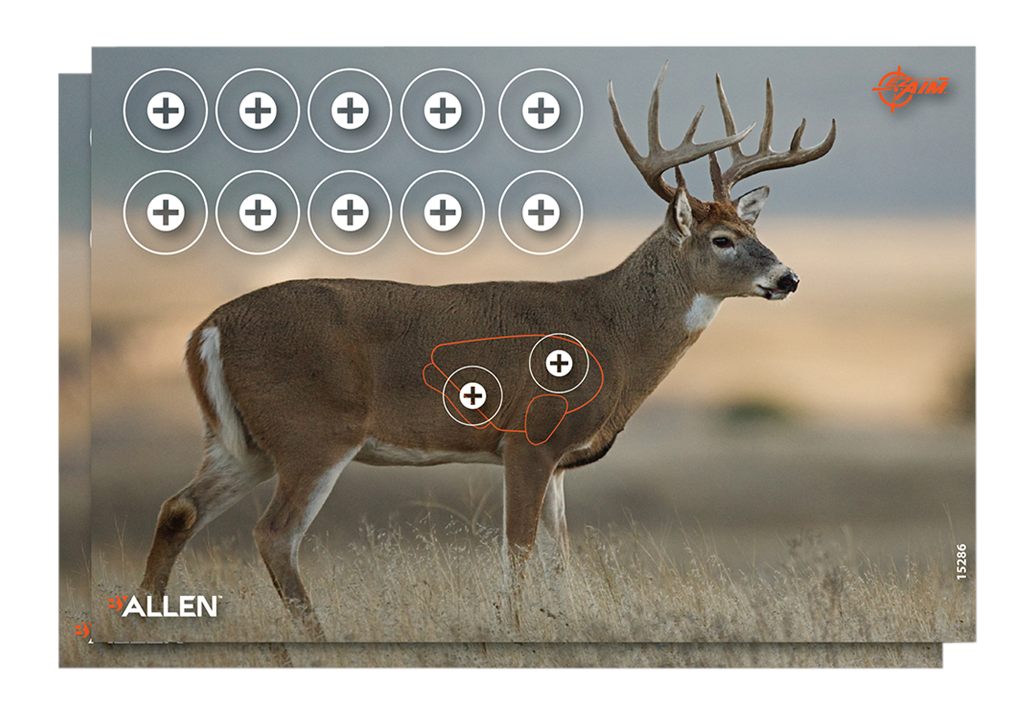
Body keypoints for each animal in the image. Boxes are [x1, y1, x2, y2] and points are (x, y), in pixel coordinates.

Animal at [139, 64, 835, 640]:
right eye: (722, 239)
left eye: (752, 229)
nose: (789, 278)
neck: (611, 333)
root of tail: (208, 327)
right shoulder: (528, 437)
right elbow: (519, 549)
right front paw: (514, 629)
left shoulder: (558, 460)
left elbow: (559, 556)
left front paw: (562, 624)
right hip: (313, 430)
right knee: (274, 534)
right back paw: (316, 639)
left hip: (244, 441)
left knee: (179, 508)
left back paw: (145, 626)